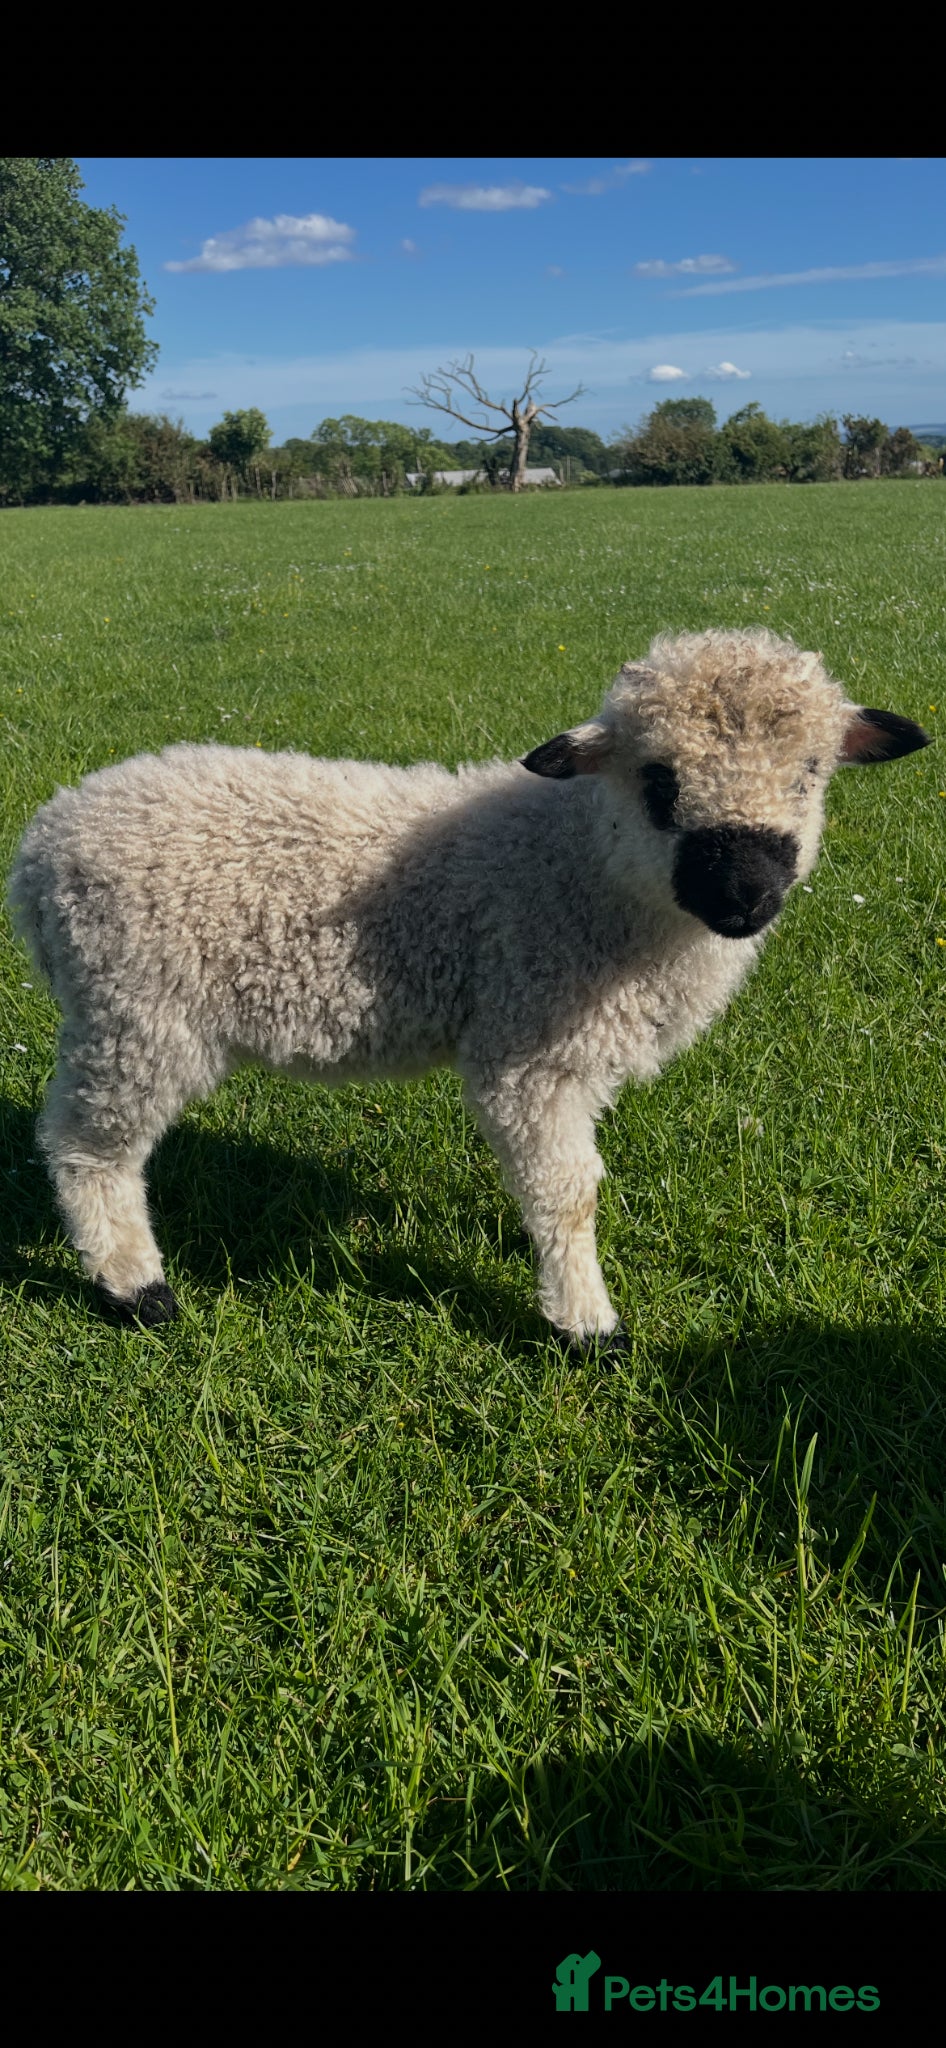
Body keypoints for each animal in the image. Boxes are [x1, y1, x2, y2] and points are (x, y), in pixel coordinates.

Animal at [8, 628, 930, 1350]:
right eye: (659, 782)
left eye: (810, 773)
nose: (745, 893)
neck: (582, 863)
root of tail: (41, 850)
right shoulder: (528, 1047)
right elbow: (569, 1193)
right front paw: (585, 1323)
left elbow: (561, 1177)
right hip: (136, 1012)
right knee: (86, 1147)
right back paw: (134, 1288)